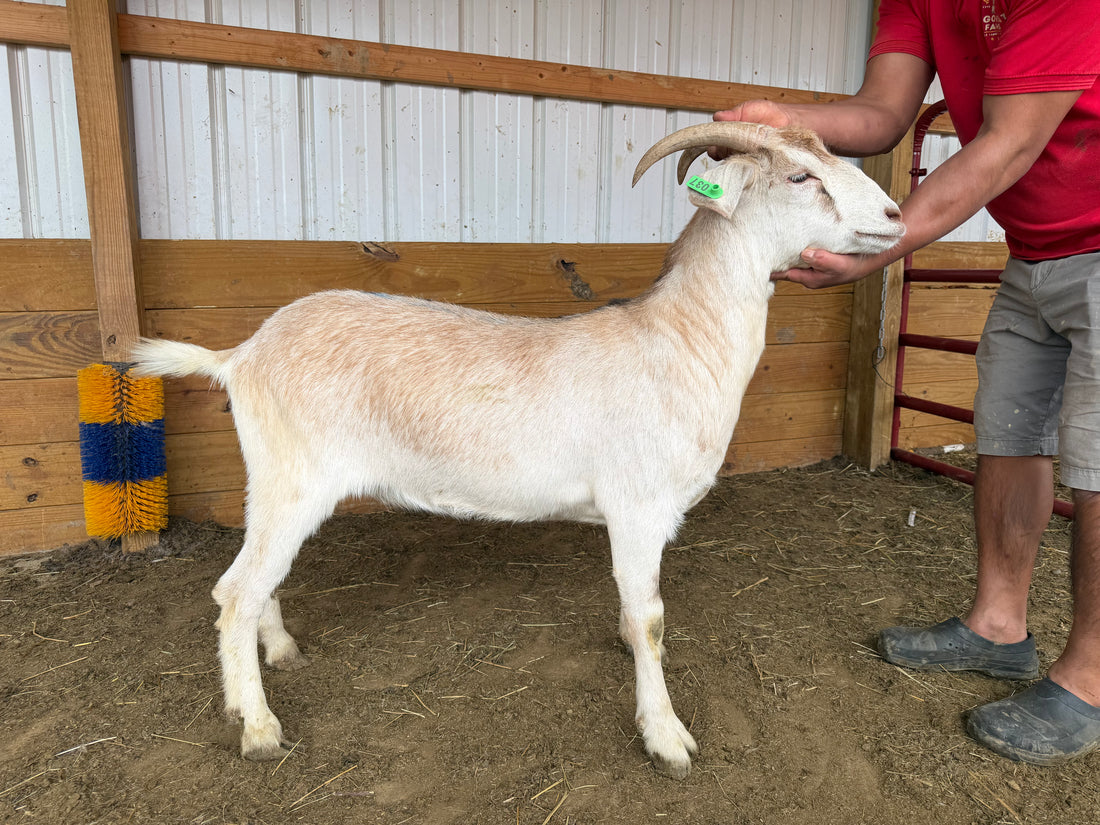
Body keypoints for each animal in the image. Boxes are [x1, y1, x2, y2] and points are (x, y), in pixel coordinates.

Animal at [130, 121, 903, 779]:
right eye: (801, 175)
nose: (897, 217)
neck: (678, 340)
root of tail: (240, 355)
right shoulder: (638, 506)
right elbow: (651, 620)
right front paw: (666, 736)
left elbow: (637, 615)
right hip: (296, 477)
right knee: (235, 590)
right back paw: (258, 725)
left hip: (272, 480)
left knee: (255, 578)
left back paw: (278, 654)